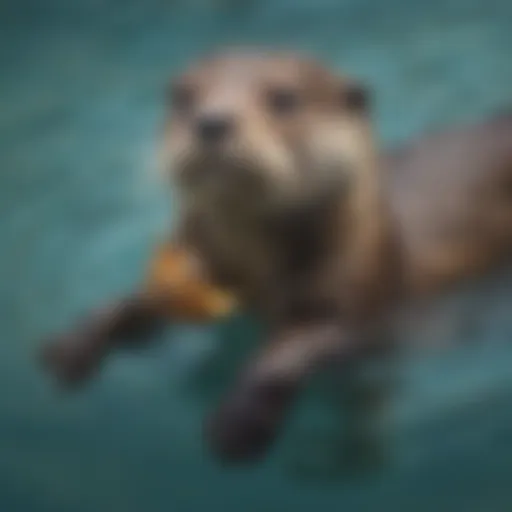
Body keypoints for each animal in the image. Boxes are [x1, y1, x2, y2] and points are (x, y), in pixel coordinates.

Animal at [39, 51, 512, 464]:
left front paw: (238, 424)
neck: (257, 279)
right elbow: (137, 303)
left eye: (284, 98)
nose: (211, 121)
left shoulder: (364, 302)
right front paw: (72, 345)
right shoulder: (195, 268)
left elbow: (288, 353)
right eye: (183, 96)